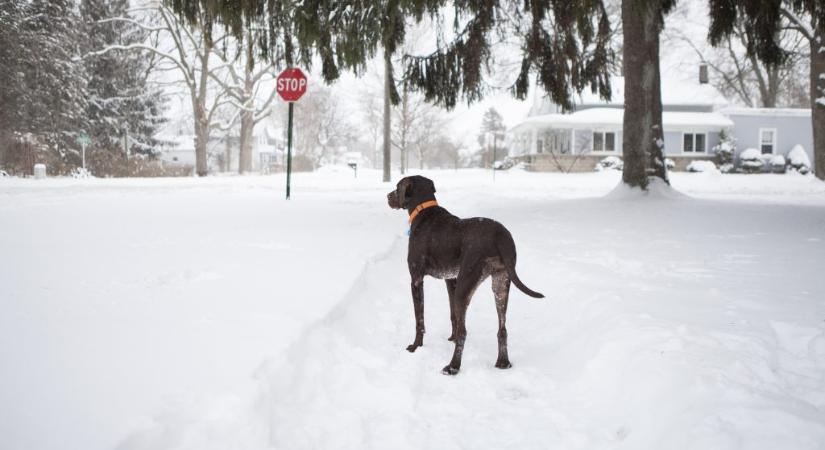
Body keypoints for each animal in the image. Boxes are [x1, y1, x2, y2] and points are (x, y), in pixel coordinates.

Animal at [388, 174, 544, 374]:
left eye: (397, 187)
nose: (387, 196)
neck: (424, 211)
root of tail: (500, 236)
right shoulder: (451, 279)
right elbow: (453, 316)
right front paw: (451, 338)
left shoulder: (416, 279)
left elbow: (419, 319)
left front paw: (416, 346)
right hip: (501, 284)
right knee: (502, 329)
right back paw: (503, 362)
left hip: (466, 285)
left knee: (465, 332)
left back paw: (453, 366)